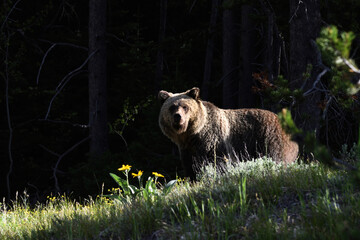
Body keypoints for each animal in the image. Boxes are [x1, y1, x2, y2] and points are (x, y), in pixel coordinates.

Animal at [158, 87, 298, 179]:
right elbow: (191, 167)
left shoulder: (215, 140)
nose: (178, 116)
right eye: (172, 107)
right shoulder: (187, 149)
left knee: (276, 156)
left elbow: (219, 162)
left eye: (185, 106)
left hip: (270, 136)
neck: (193, 135)